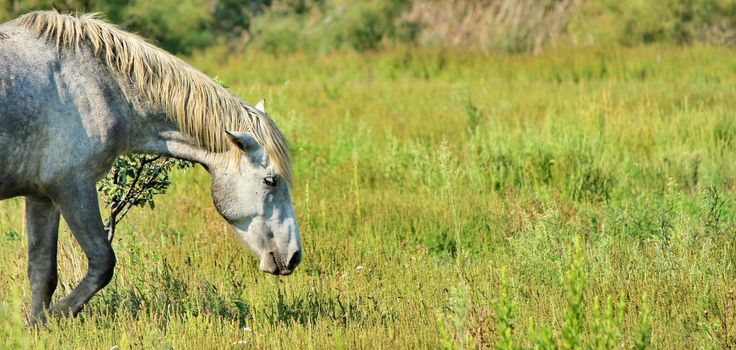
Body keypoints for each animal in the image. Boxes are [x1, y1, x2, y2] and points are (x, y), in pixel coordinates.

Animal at [0, 10, 304, 322]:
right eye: (270, 181)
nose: (294, 256)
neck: (97, 84)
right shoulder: (72, 187)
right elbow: (102, 263)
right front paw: (54, 317)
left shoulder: (42, 197)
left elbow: (42, 273)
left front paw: (35, 324)